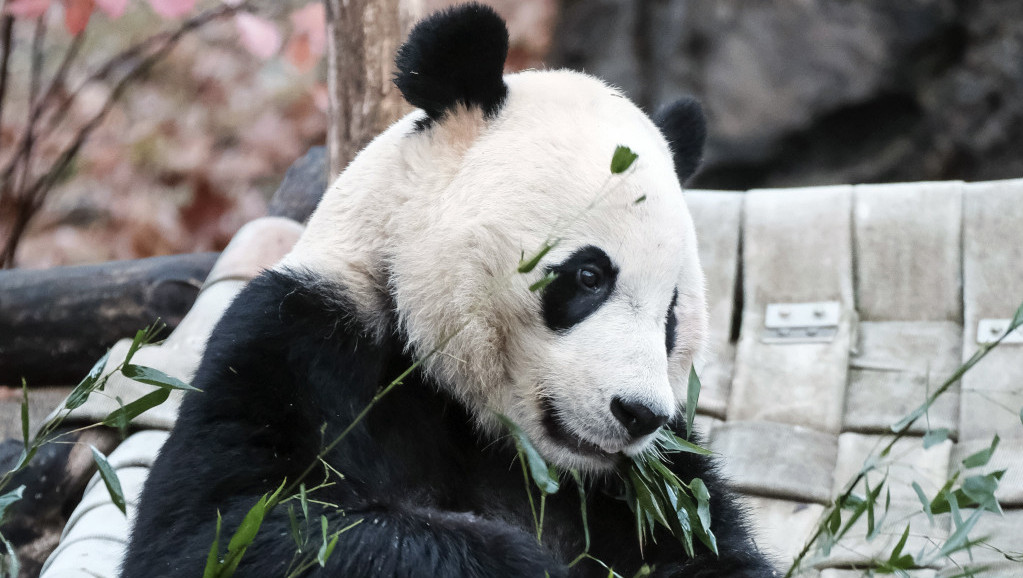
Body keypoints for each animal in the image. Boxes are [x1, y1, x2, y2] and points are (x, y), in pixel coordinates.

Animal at [121, 4, 773, 576]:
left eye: (672, 316)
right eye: (590, 276)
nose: (639, 413)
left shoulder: (659, 479)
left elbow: (708, 546)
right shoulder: (301, 338)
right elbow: (225, 526)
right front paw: (520, 560)